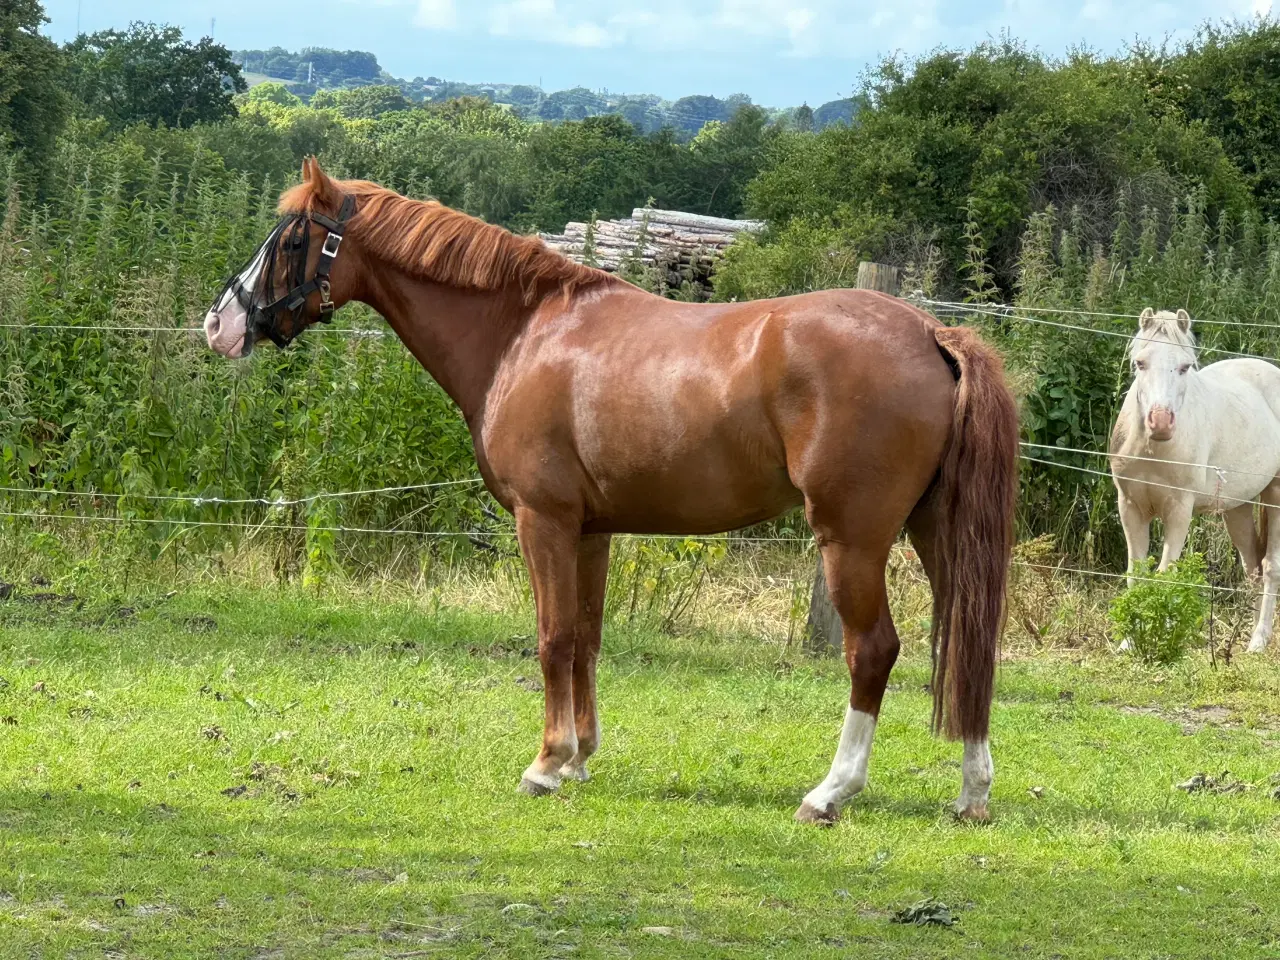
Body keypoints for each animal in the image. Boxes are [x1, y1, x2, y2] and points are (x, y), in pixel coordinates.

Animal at [203, 158, 1019, 823]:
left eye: (291, 242)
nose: (219, 324)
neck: (525, 333)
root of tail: (933, 334)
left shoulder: (544, 522)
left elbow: (553, 638)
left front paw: (544, 764)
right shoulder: (592, 531)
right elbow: (587, 639)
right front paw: (579, 758)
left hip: (853, 540)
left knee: (873, 651)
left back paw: (830, 793)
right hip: (933, 533)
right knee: (970, 641)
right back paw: (972, 794)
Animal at [1110, 308, 1280, 653]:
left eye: (1185, 366)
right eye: (1140, 363)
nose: (1160, 422)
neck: (1154, 450)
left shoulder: (1179, 510)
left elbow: (1166, 574)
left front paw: (1159, 637)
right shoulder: (1130, 507)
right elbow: (1137, 574)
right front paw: (1129, 643)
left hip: (1276, 494)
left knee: (1270, 567)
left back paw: (1259, 640)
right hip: (1237, 507)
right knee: (1253, 566)